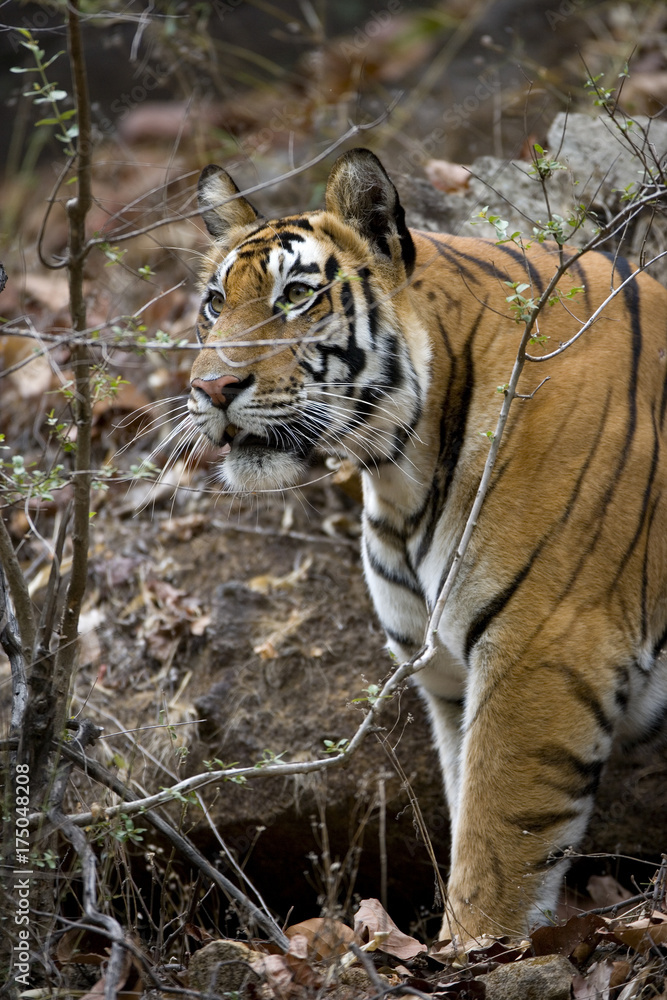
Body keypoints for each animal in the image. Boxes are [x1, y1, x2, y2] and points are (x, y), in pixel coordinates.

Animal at [186, 147, 667, 940]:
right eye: (213, 303)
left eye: (295, 296)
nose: (211, 387)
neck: (401, 471)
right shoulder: (445, 674)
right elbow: (462, 805)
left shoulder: (541, 653)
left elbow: (494, 850)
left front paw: (467, 950)